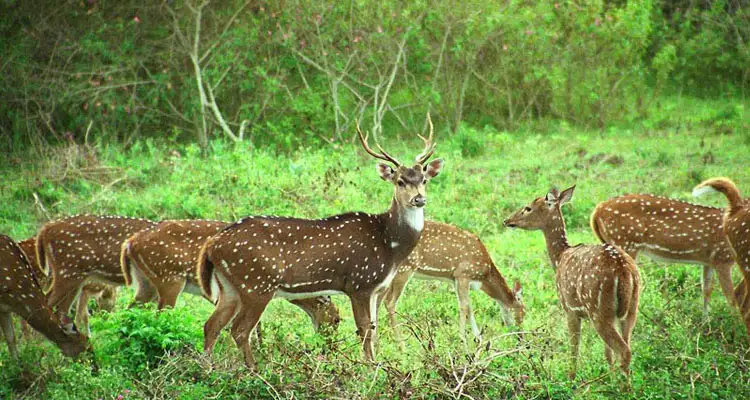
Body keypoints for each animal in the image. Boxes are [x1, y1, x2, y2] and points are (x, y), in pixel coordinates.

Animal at [120, 219, 341, 333]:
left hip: (146, 283)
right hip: (170, 278)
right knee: (160, 315)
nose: (328, 347)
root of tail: (130, 244)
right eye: (337, 320)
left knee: (129, 310)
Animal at [196, 116, 444, 368]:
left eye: (424, 180)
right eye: (400, 181)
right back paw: (253, 369)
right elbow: (364, 330)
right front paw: (369, 368)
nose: (419, 199)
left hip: (230, 286)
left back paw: (208, 367)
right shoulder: (359, 283)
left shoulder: (377, 288)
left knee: (211, 325)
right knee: (239, 329)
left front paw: (376, 364)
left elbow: (374, 330)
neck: (390, 245)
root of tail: (212, 244)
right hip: (256, 283)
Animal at [380, 220, 524, 346]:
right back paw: (401, 346)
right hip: (405, 267)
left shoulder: (456, 279)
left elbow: (469, 307)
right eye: (522, 313)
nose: (520, 337)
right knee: (390, 302)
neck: (484, 275)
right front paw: (463, 342)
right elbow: (464, 307)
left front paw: (479, 340)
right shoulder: (463, 274)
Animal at [504, 186, 640, 378]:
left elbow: (574, 349)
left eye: (528, 207)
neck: (560, 257)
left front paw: (571, 378)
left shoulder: (570, 308)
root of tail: (624, 271)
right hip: (631, 309)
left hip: (599, 310)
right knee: (625, 347)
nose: (508, 220)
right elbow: (607, 355)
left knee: (623, 351)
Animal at [590, 194, 736, 315]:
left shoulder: (709, 261)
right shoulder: (723, 258)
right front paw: (735, 324)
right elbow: (731, 296)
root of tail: (597, 211)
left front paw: (706, 321)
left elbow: (707, 289)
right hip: (624, 242)